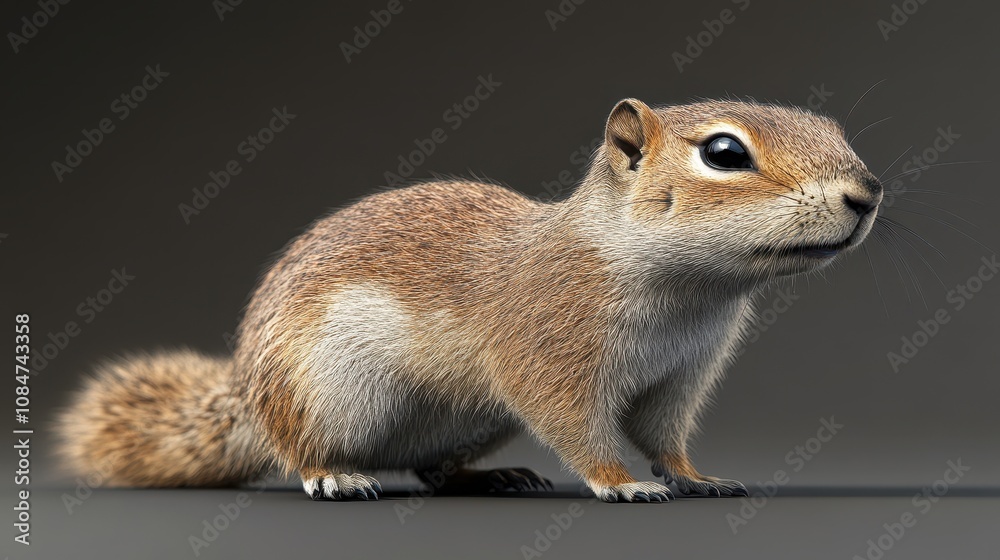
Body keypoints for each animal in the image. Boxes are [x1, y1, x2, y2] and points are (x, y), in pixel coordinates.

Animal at [57, 98, 882, 503]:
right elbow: (578, 425)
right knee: (300, 446)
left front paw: (694, 476)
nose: (868, 192)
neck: (692, 292)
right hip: (319, 393)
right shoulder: (547, 353)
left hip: (474, 420)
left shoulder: (680, 376)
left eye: (833, 127)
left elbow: (664, 432)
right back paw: (334, 475)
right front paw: (622, 483)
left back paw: (489, 477)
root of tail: (247, 394)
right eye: (724, 153)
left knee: (431, 470)